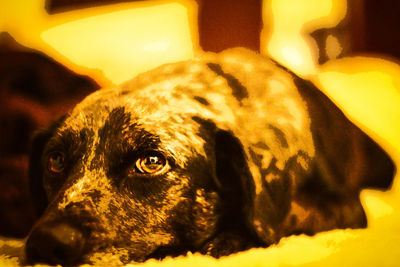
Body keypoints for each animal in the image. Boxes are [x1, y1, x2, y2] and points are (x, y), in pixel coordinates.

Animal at [24, 48, 394, 266]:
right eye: (56, 160)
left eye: (151, 162)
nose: (49, 243)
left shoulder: (346, 208)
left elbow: (282, 219)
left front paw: (229, 238)